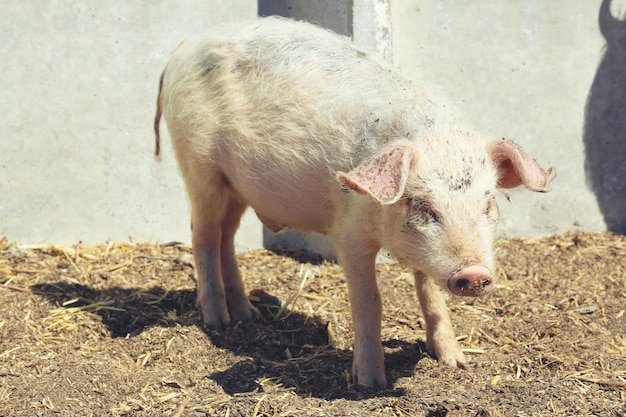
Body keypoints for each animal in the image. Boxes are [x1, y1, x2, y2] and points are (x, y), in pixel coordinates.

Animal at [154, 16, 552, 386]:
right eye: (423, 206)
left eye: (487, 204)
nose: (474, 274)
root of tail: (180, 51)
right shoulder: (348, 233)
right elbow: (370, 301)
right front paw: (370, 384)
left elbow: (431, 296)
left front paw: (456, 363)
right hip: (198, 165)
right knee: (203, 234)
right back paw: (218, 323)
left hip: (235, 186)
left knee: (227, 237)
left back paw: (246, 314)